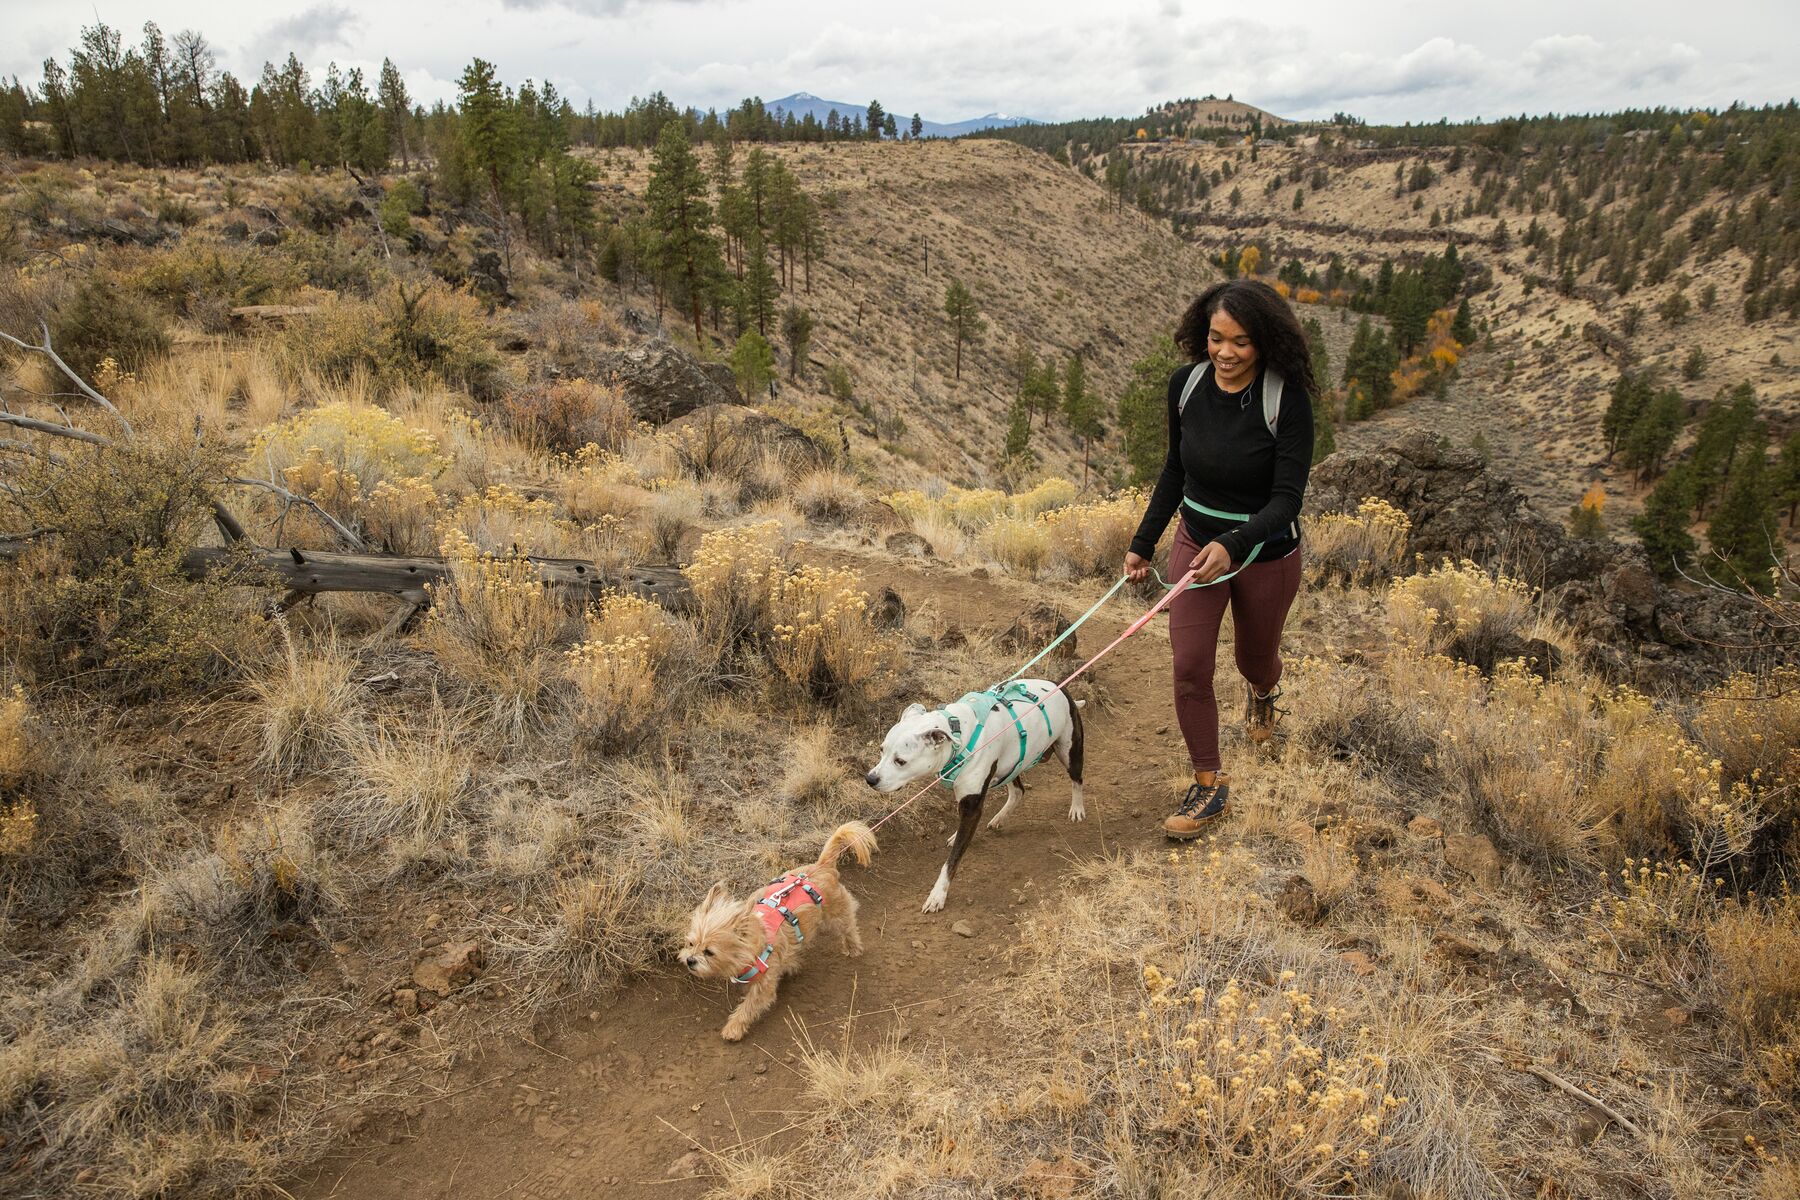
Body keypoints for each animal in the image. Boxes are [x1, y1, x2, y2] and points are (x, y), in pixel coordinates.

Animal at [676, 820, 874, 1036]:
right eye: (690, 944)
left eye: (709, 952)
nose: (690, 960)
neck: (755, 948)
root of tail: (823, 865)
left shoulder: (763, 987)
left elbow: (748, 1006)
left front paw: (733, 1028)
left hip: (837, 915)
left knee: (849, 927)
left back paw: (853, 948)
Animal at [864, 680, 1087, 913]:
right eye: (881, 750)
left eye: (900, 761)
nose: (870, 779)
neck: (959, 735)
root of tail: (1060, 686)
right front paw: (956, 836)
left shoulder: (971, 806)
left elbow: (951, 862)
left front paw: (938, 894)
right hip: (1011, 764)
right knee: (1018, 791)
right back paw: (999, 818)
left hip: (1069, 751)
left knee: (1077, 780)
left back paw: (1077, 809)